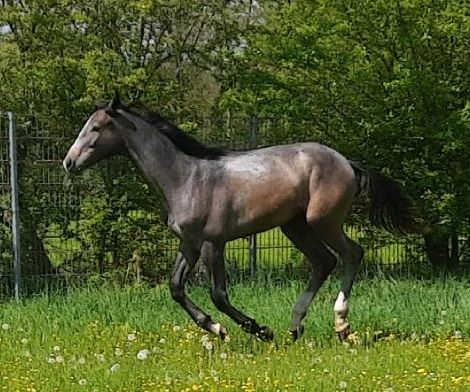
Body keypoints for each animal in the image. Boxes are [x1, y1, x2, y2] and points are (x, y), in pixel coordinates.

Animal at [63, 95, 422, 344]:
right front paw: (216, 328)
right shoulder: (189, 244)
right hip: (293, 226)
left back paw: (340, 325)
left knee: (351, 254)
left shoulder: (213, 243)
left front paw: (257, 330)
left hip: (323, 220)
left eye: (96, 128)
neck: (185, 178)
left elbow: (219, 295)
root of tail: (347, 162)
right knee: (324, 261)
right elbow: (176, 288)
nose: (69, 162)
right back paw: (295, 327)